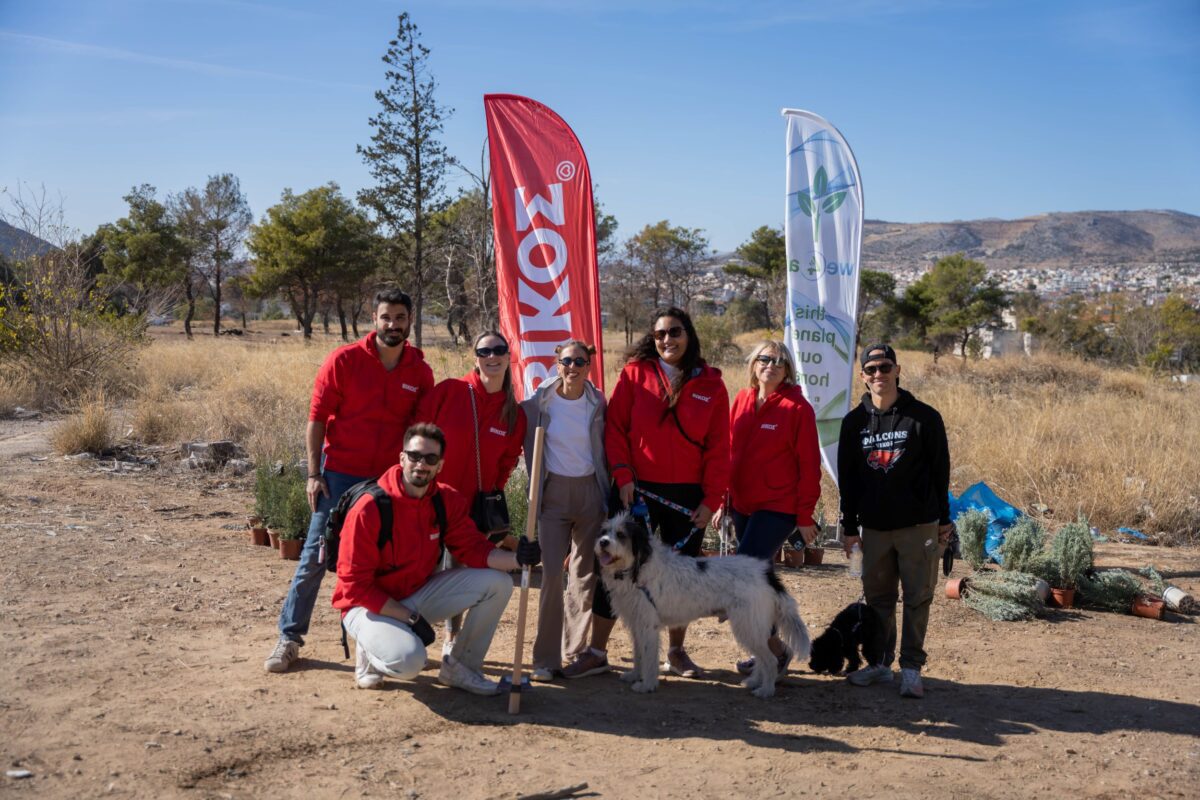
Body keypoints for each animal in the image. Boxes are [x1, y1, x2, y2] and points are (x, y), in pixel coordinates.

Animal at [595, 510, 811, 695]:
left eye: (621, 534)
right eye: (604, 532)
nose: (603, 542)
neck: (637, 568)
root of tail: (765, 573)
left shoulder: (648, 626)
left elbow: (648, 657)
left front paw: (647, 684)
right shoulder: (637, 625)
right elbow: (638, 654)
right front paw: (634, 675)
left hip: (747, 626)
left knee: (770, 659)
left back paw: (765, 690)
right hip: (751, 627)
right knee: (762, 658)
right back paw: (754, 682)